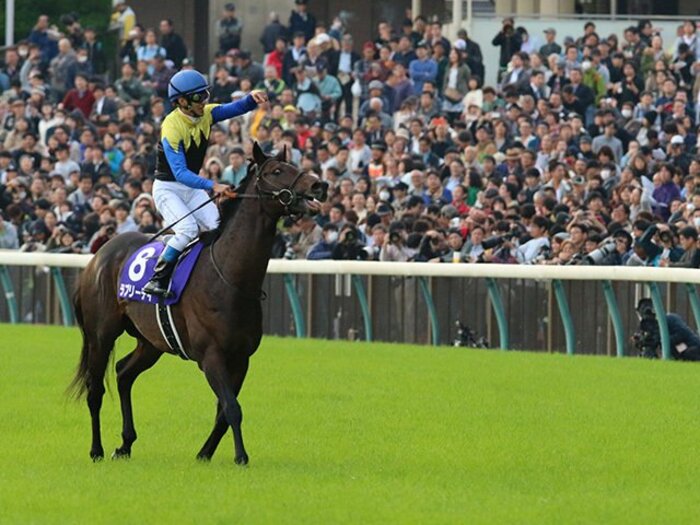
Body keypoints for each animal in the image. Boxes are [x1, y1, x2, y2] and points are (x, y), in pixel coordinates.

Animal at [69, 142, 328, 465]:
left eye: (294, 166)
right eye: (277, 171)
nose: (319, 185)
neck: (230, 279)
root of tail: (96, 258)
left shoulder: (241, 358)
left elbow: (224, 411)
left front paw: (205, 453)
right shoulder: (211, 355)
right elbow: (232, 408)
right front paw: (241, 457)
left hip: (151, 342)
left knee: (123, 373)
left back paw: (125, 444)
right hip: (101, 334)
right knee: (95, 389)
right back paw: (97, 450)